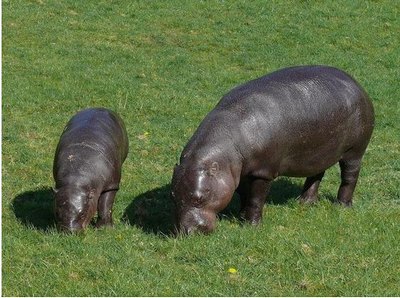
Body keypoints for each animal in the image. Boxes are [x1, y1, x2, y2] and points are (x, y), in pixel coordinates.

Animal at [171, 66, 376, 235]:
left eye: (199, 198)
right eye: (173, 196)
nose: (187, 232)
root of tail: (356, 83)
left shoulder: (263, 172)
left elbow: (256, 199)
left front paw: (252, 226)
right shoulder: (240, 172)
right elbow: (243, 194)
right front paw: (241, 216)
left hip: (355, 151)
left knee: (349, 177)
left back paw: (342, 206)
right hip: (319, 152)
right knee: (316, 175)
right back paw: (304, 202)